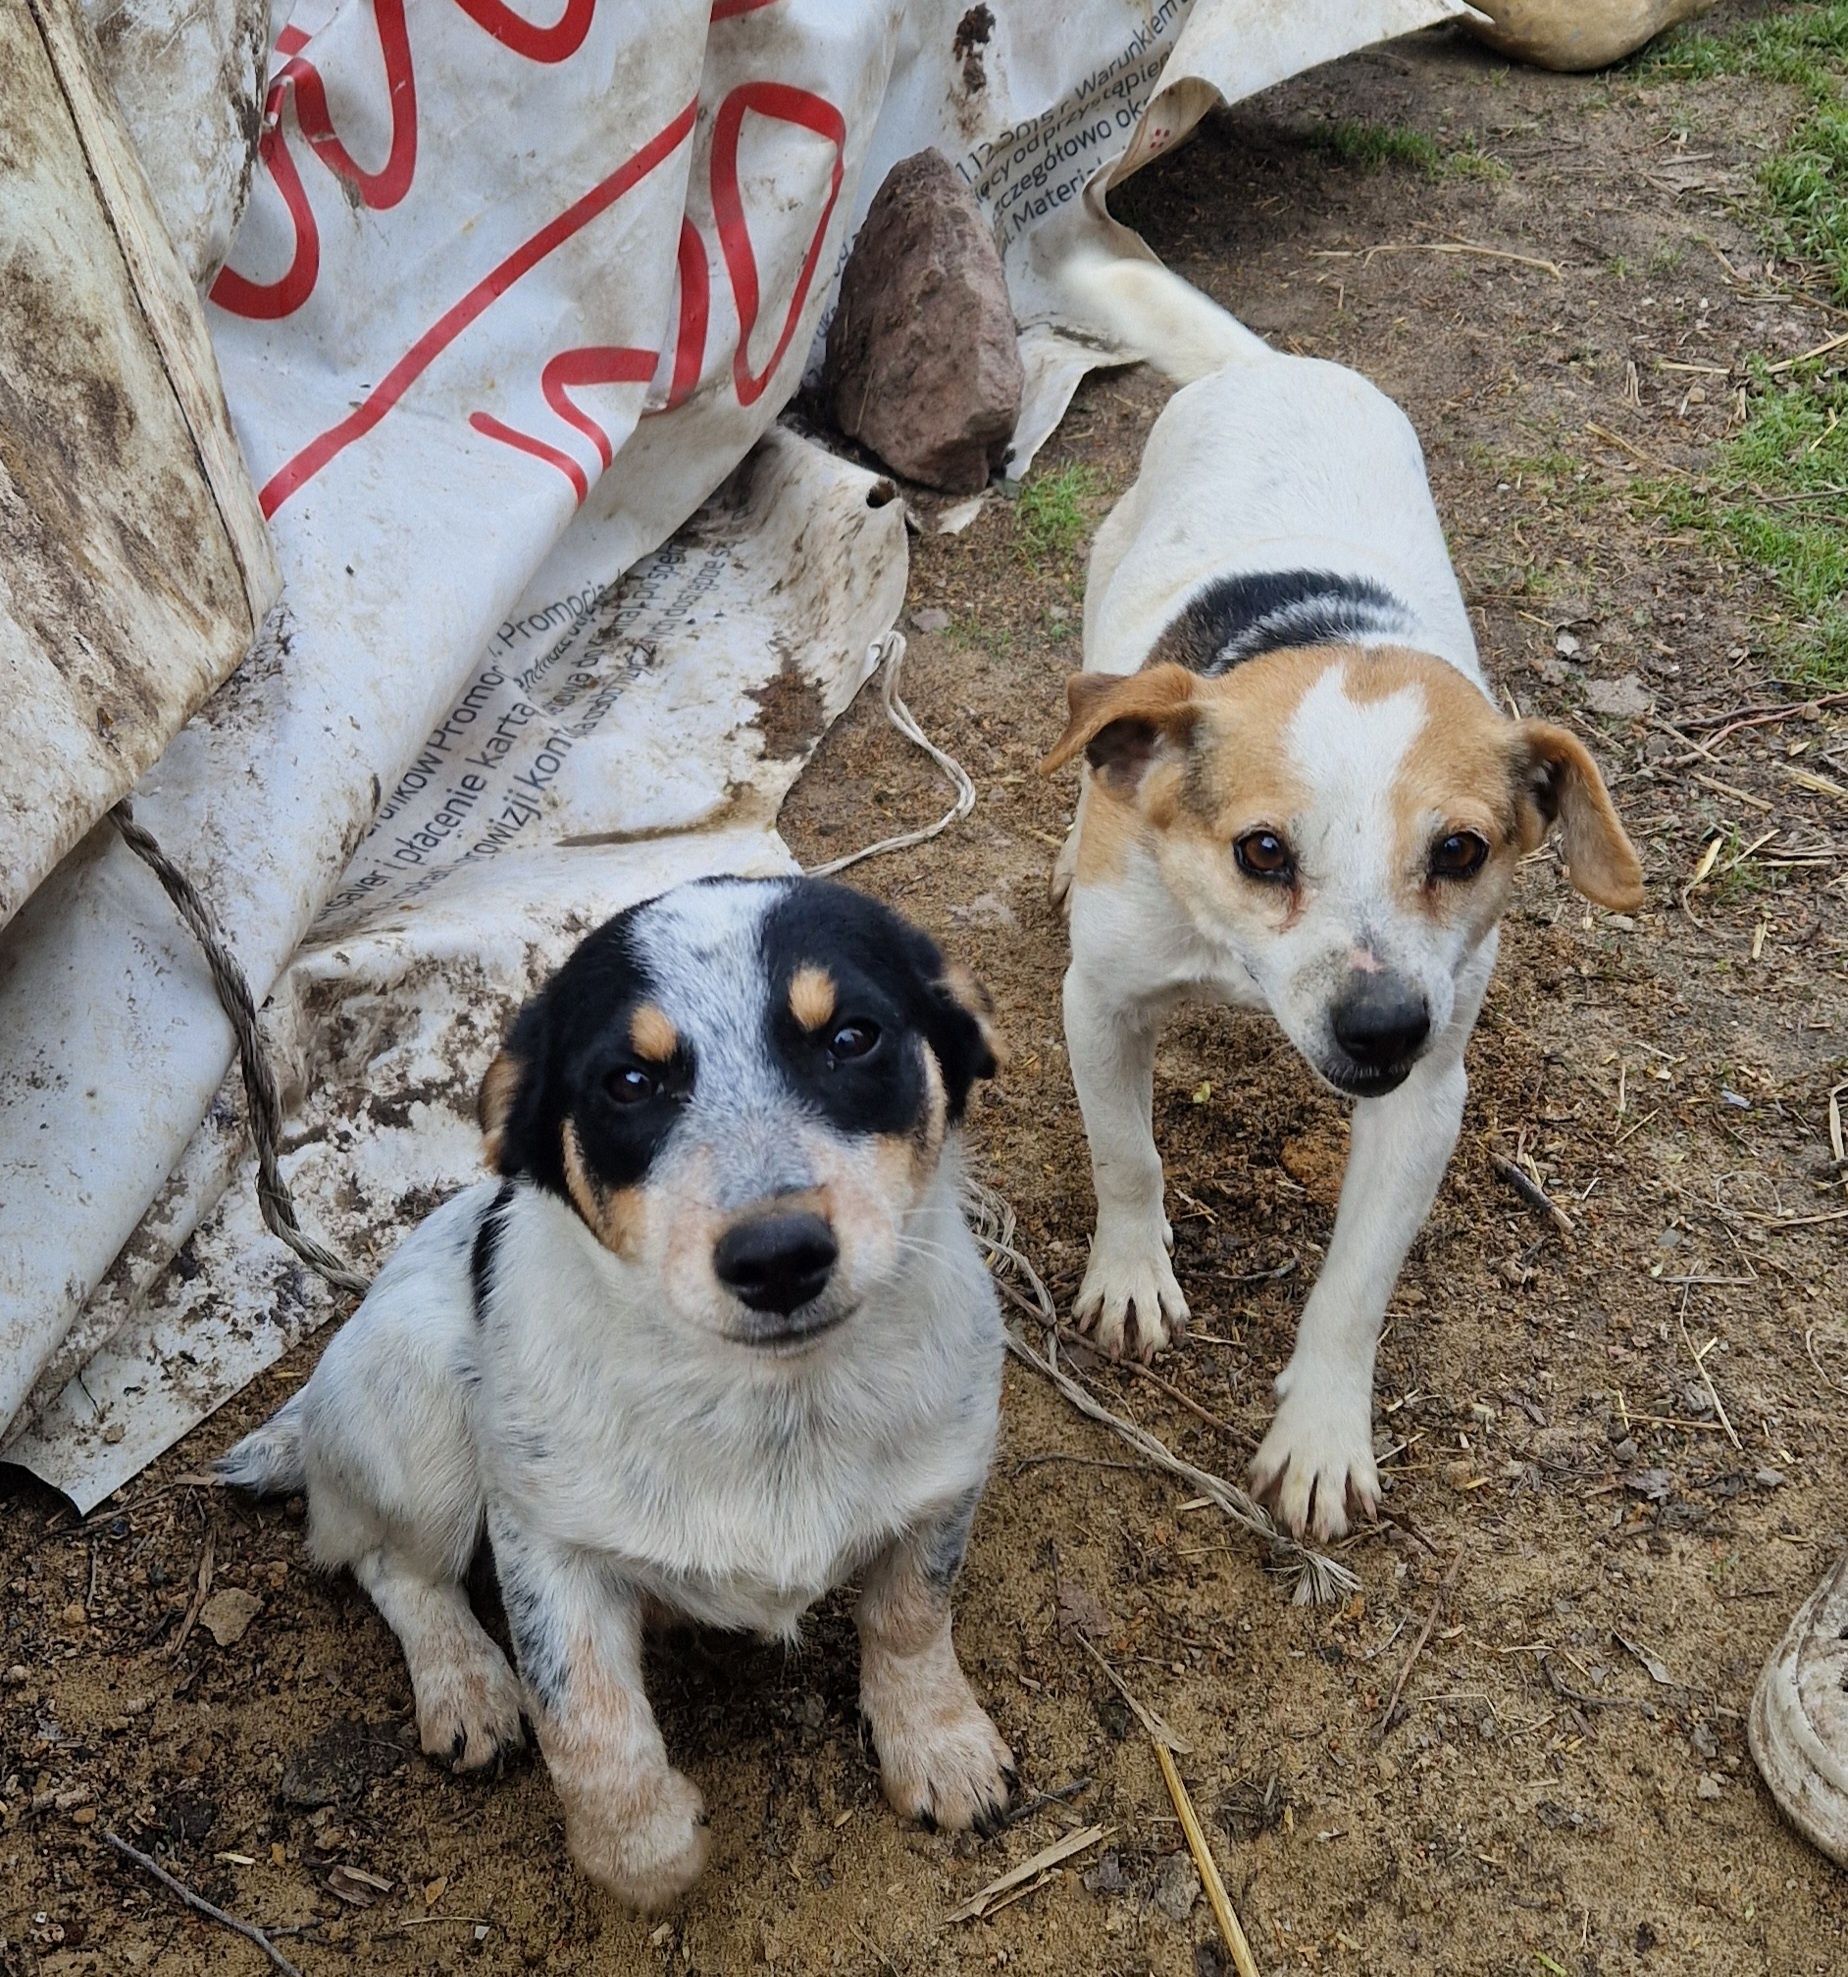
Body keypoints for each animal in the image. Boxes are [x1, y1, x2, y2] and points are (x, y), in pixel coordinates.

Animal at [227, 877, 1027, 1897]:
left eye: (853, 1037)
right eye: (631, 1082)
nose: (777, 1256)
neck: (773, 1403)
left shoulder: (945, 1480)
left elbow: (911, 1615)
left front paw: (939, 1743)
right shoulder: (546, 1542)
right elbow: (586, 1716)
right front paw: (645, 1851)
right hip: (420, 1410)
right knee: (383, 1562)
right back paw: (467, 1682)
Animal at [1051, 255, 1636, 1542]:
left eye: (1462, 851)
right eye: (1263, 851)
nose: (1381, 1028)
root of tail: (1272, 367)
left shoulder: (1425, 1102)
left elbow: (1356, 1288)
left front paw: (1322, 1431)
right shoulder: (1100, 1003)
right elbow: (1127, 1156)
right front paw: (1132, 1275)